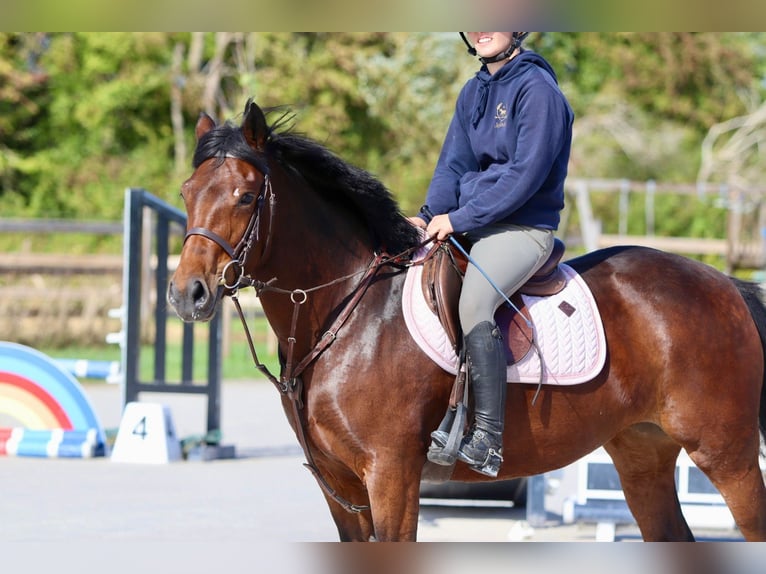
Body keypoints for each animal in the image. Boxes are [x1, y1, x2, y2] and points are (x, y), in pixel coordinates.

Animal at [167, 99, 766, 541]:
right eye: (187, 193)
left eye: (247, 196)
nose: (186, 295)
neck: (350, 311)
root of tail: (725, 284)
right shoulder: (341, 491)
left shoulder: (391, 476)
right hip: (643, 453)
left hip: (727, 454)